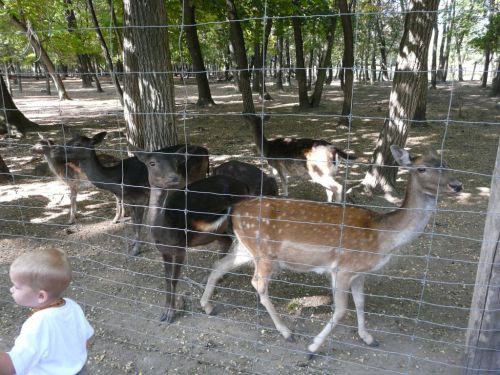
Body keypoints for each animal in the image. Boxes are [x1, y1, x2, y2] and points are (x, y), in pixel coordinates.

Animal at [200, 146, 464, 358]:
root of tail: (234, 207)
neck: (382, 237)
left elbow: (360, 302)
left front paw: (368, 337)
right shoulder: (343, 269)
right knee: (257, 284)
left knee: (218, 266)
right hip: (263, 253)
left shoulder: (360, 273)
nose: (457, 185)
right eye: (421, 168)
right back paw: (286, 331)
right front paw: (313, 347)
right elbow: (341, 311)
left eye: (446, 163)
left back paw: (207, 306)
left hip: (245, 247)